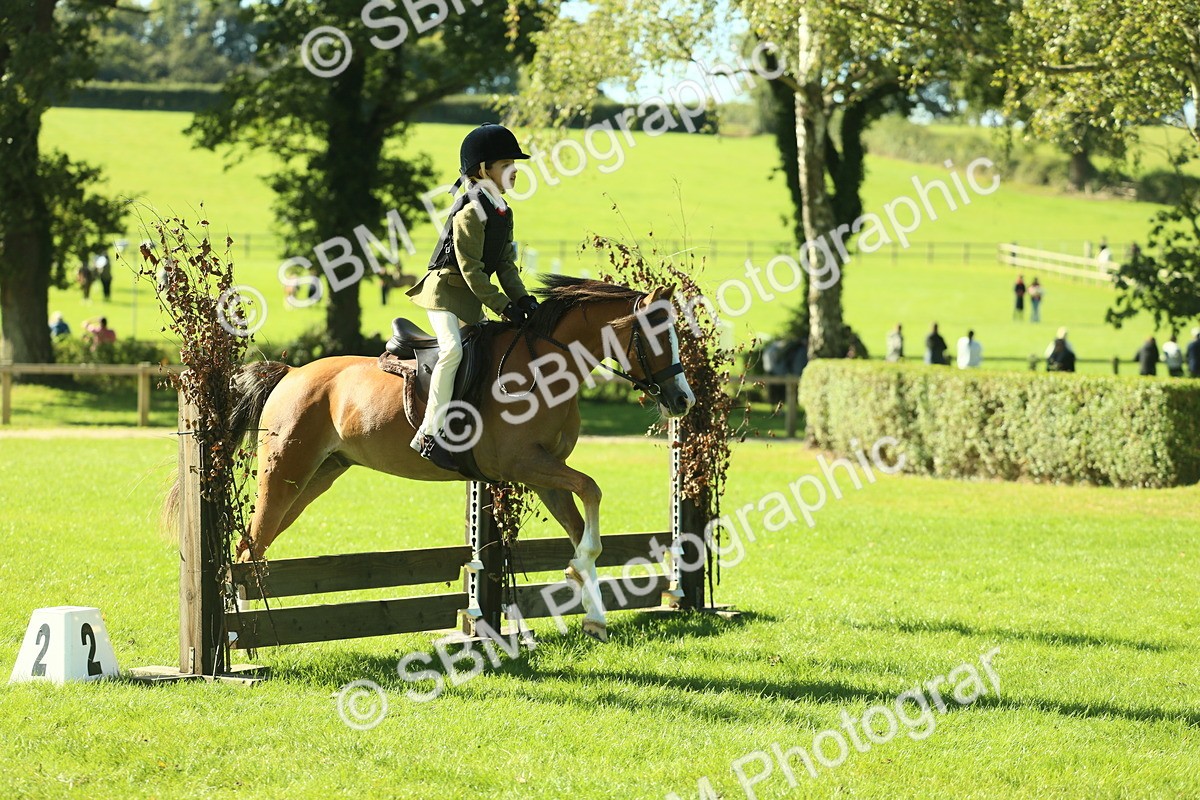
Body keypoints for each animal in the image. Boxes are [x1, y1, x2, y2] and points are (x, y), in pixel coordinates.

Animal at [197, 276, 695, 642]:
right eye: (657, 337)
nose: (683, 400)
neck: (548, 368)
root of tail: (291, 373)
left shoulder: (543, 473)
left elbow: (581, 528)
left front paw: (594, 614)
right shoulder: (524, 465)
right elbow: (592, 489)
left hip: (317, 477)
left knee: (253, 547)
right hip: (285, 472)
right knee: (249, 546)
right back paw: (238, 636)